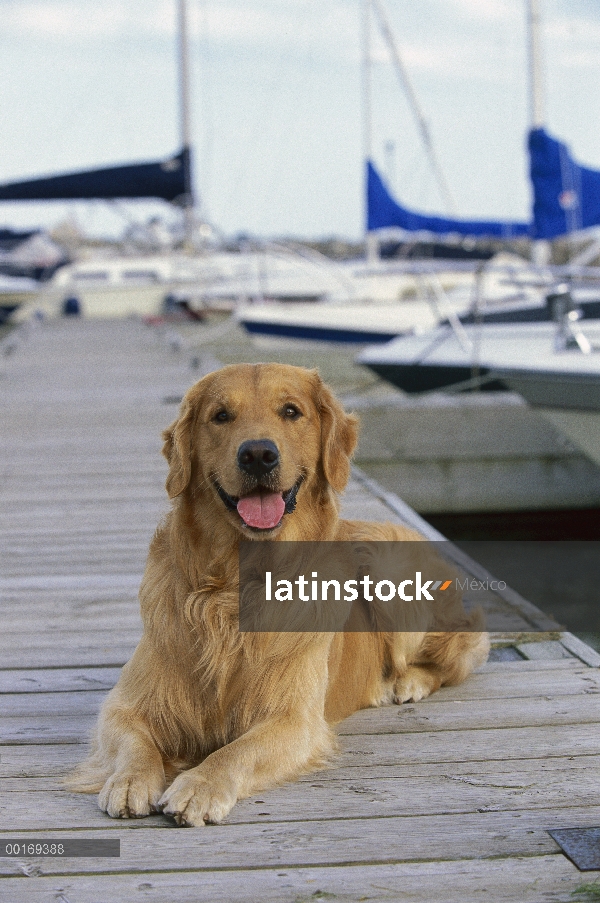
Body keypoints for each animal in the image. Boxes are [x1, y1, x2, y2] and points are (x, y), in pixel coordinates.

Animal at [70, 362, 490, 828]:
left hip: (390, 568)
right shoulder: (126, 704)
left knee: (457, 657)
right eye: (220, 416)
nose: (258, 454)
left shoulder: (293, 719)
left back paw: (405, 682)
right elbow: (133, 741)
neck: (235, 586)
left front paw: (199, 786)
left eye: (291, 411)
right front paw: (129, 780)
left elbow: (236, 751)